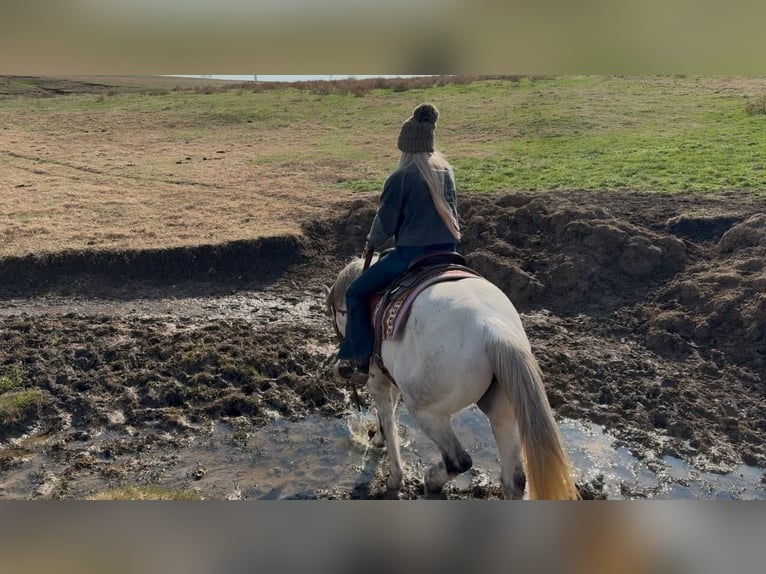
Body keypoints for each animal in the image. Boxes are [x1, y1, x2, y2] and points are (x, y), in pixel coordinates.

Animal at [324, 255, 584, 500]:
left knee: (459, 460)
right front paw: (378, 440)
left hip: (428, 412)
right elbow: (386, 418)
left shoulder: (378, 381)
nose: (341, 367)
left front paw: (394, 476)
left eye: (339, 314)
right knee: (515, 480)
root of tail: (493, 331)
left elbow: (388, 421)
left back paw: (432, 480)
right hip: (504, 411)